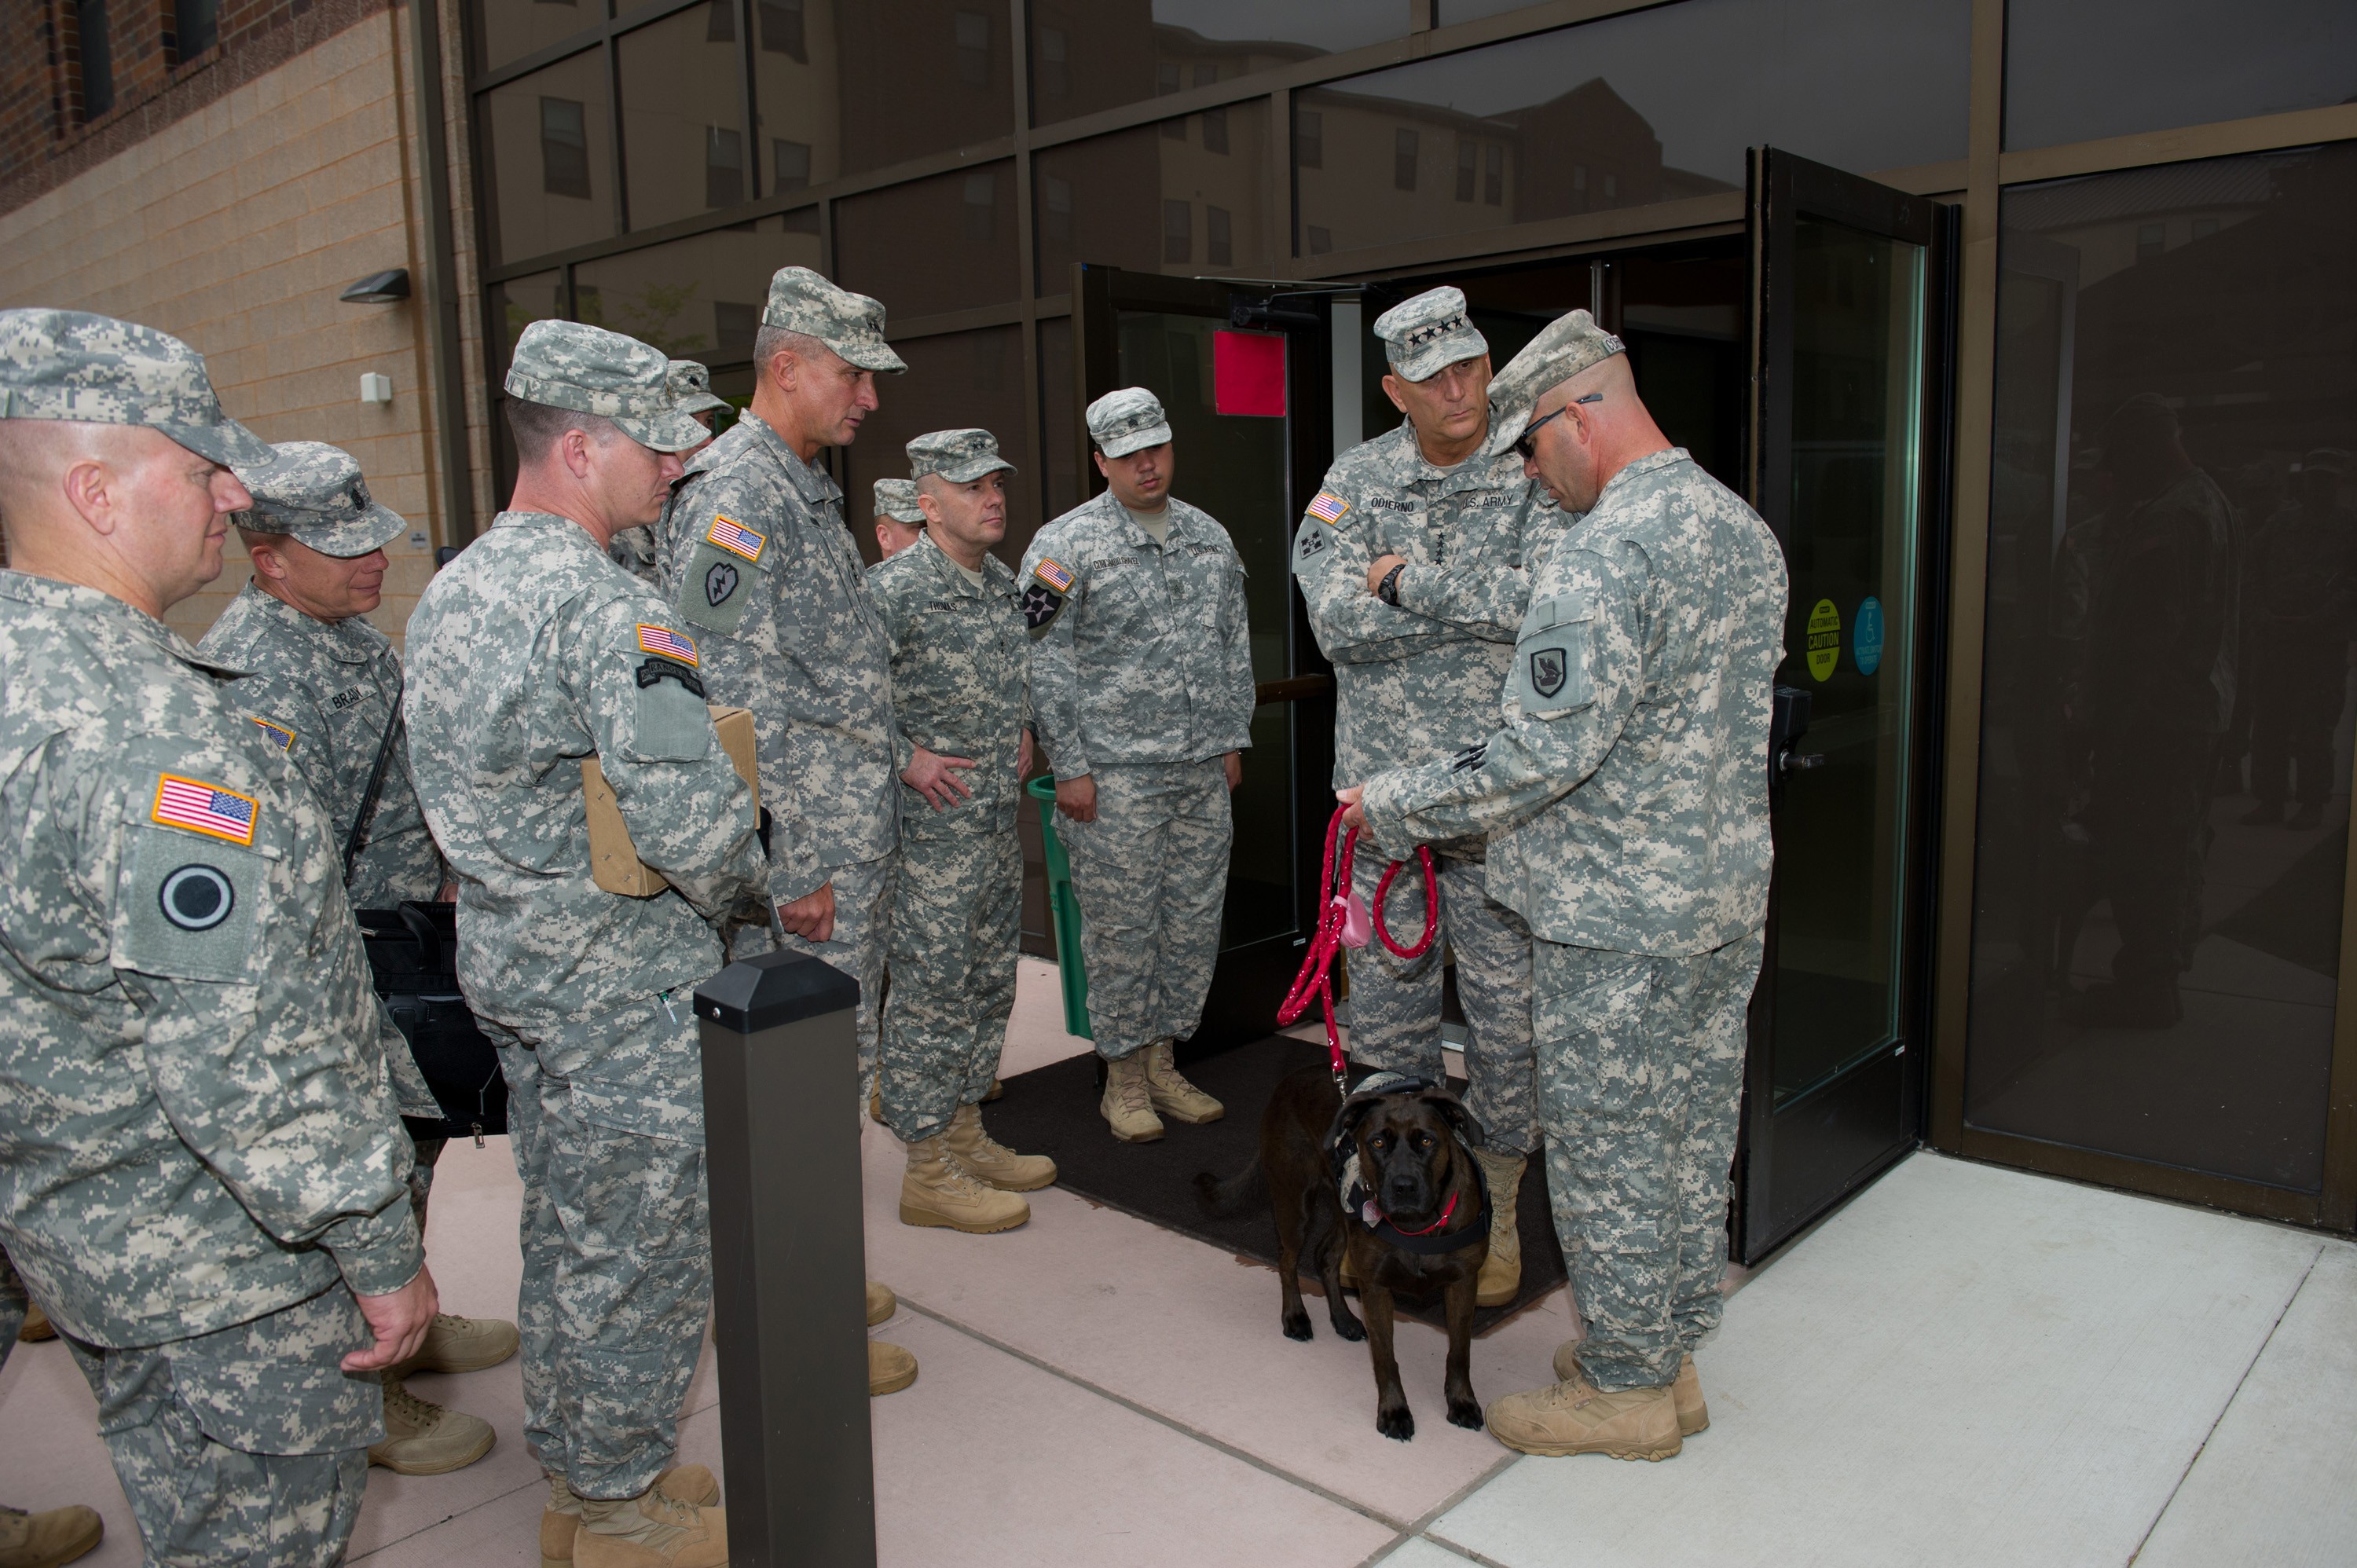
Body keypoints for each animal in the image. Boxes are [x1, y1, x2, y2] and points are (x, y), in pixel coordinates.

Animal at [1197, 1056, 1490, 1433]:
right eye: (1377, 1143)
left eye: (1427, 1141)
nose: (1403, 1187)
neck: (1417, 1226)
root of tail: (1291, 1079)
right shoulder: (1375, 1287)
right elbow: (1385, 1357)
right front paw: (1394, 1411)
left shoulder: (1463, 1284)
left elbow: (1459, 1353)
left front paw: (1462, 1402)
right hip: (1294, 1203)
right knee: (1287, 1259)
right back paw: (1295, 1317)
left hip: (1343, 1210)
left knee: (1324, 1255)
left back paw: (1343, 1319)